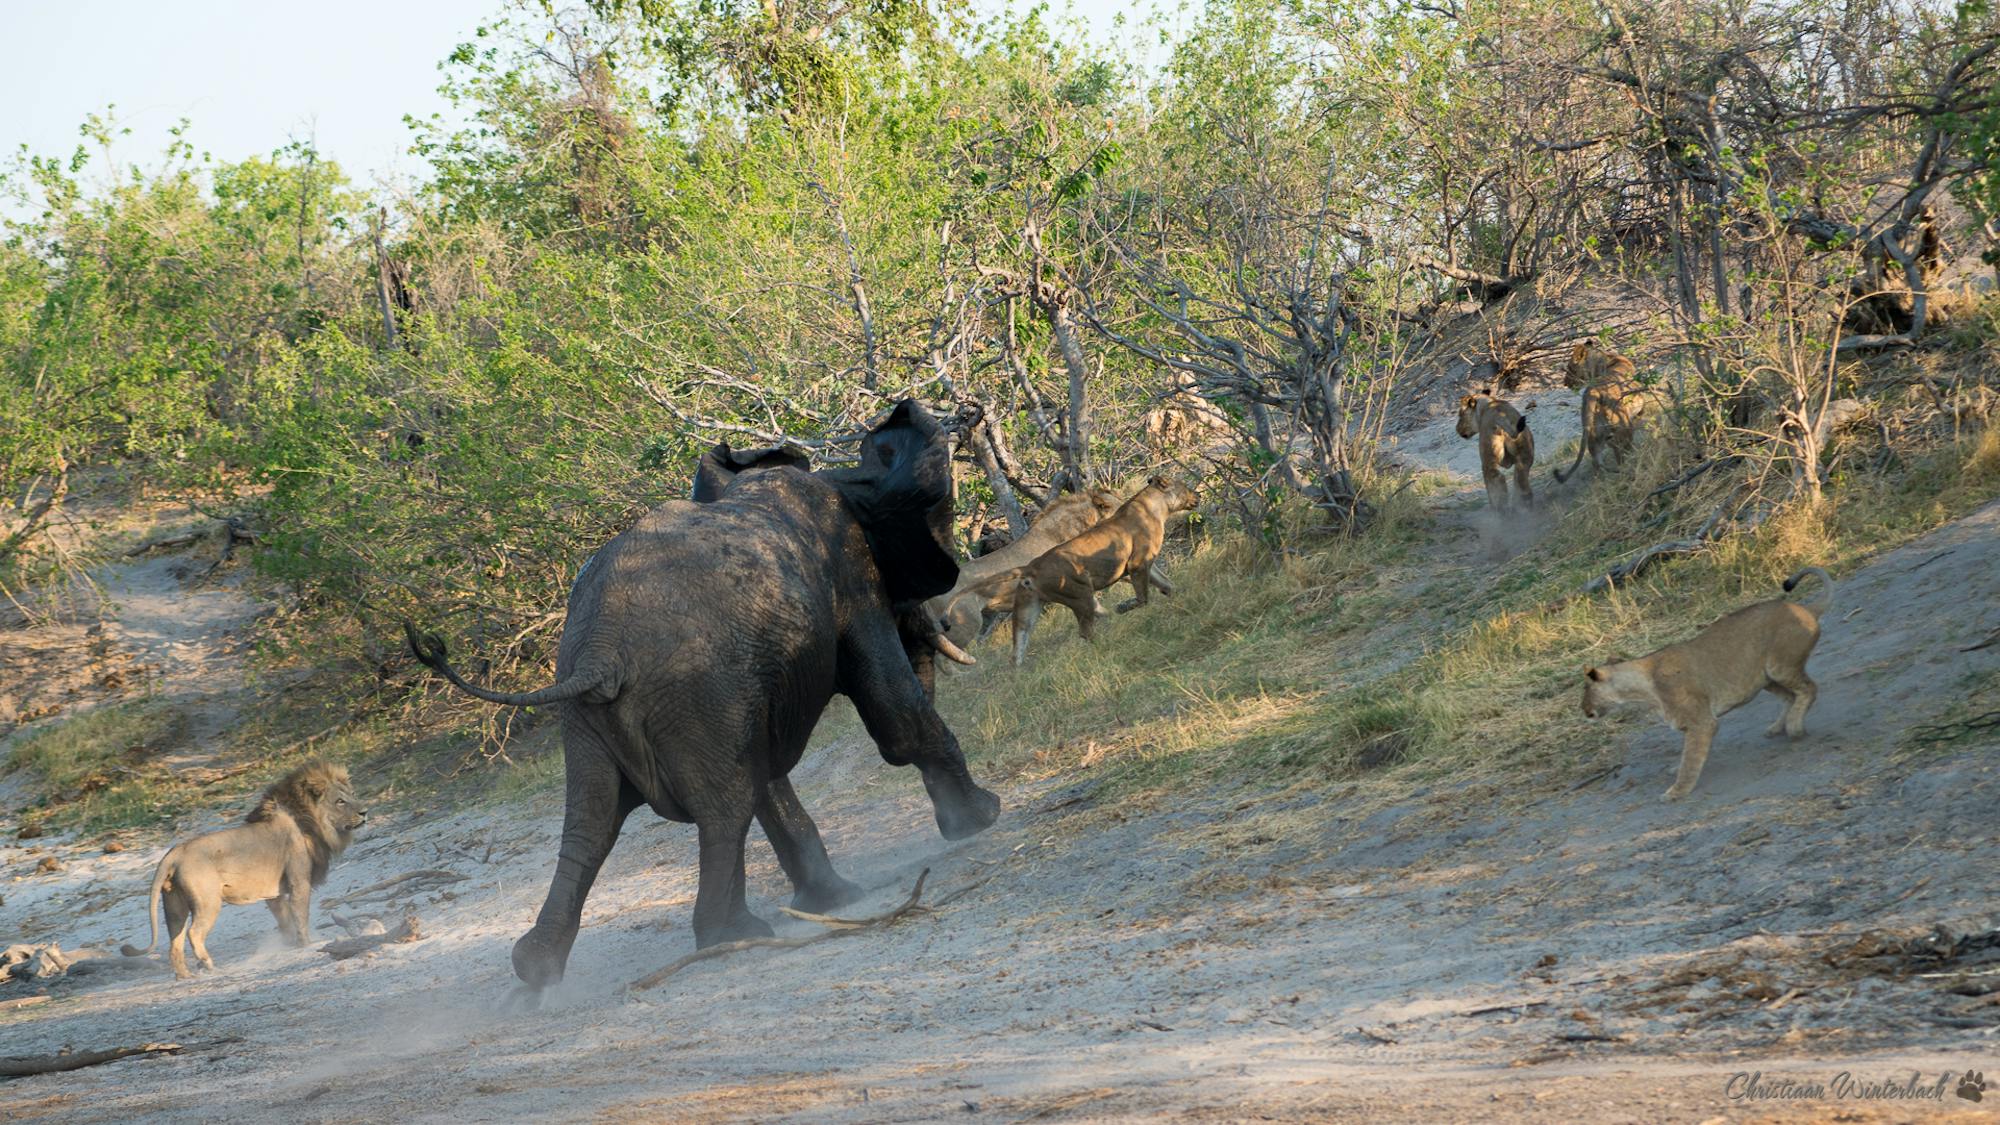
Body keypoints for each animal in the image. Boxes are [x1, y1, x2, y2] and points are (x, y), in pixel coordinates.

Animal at [124, 756, 368, 976]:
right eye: (340, 801)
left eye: (353, 795)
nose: (365, 812)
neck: (308, 820)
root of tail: (175, 852)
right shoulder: (299, 882)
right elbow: (300, 916)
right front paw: (307, 944)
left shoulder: (274, 893)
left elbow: (285, 919)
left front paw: (289, 944)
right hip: (208, 901)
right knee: (193, 933)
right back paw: (207, 964)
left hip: (174, 906)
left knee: (174, 943)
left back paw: (185, 975)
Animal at [404, 398, 1000, 992]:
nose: (939, 626)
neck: (842, 477)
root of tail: (601, 650)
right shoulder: (850, 576)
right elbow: (893, 713)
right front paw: (982, 818)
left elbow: (768, 773)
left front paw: (839, 898)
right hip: (695, 688)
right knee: (723, 806)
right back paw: (730, 935)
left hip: (608, 714)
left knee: (594, 826)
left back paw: (536, 975)